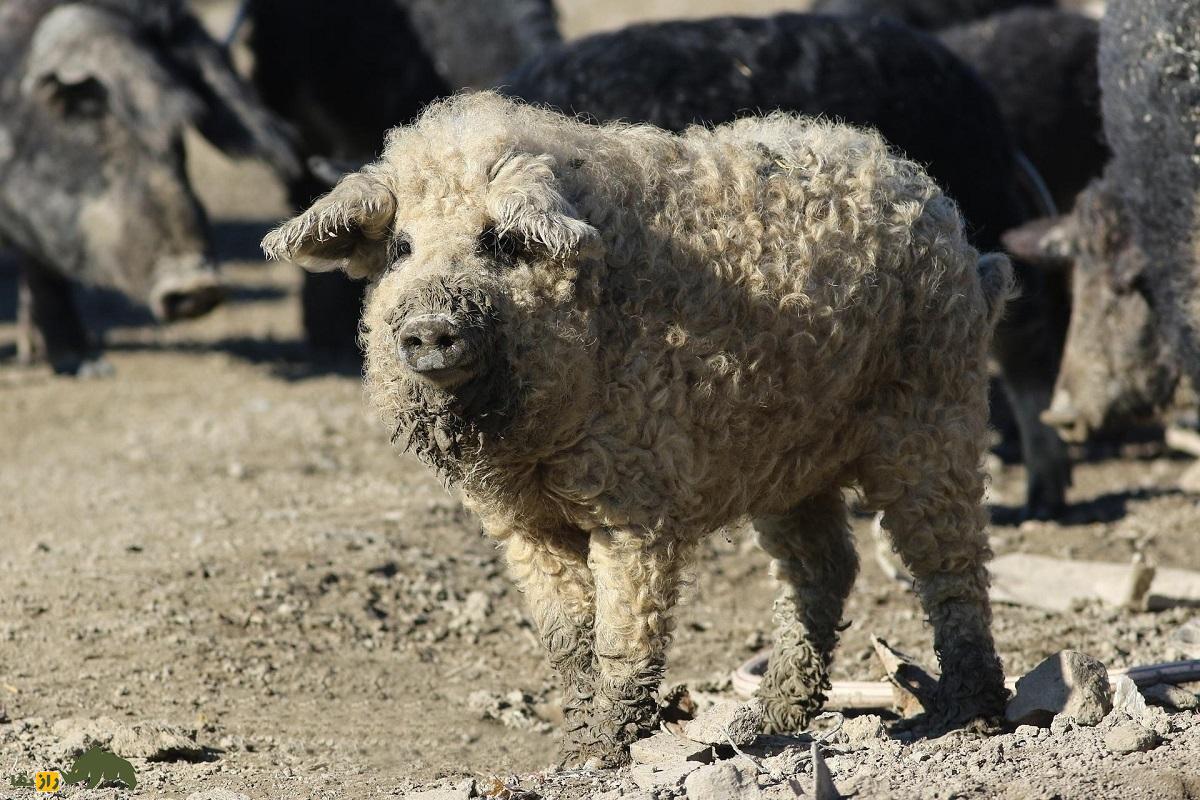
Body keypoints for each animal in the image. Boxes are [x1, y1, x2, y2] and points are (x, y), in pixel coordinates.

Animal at [0, 0, 297, 376]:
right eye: (74, 107)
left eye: (176, 128)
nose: (197, 284)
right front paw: (82, 367)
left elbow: (41, 262)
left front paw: (84, 364)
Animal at [265, 90, 1012, 767]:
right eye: (400, 247)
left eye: (498, 242)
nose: (428, 326)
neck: (530, 441)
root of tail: (931, 200)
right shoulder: (518, 523)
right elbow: (567, 637)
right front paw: (571, 757)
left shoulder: (635, 496)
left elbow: (625, 632)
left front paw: (605, 757)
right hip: (789, 457)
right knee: (824, 567)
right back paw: (759, 725)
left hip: (934, 407)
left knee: (952, 563)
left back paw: (958, 719)